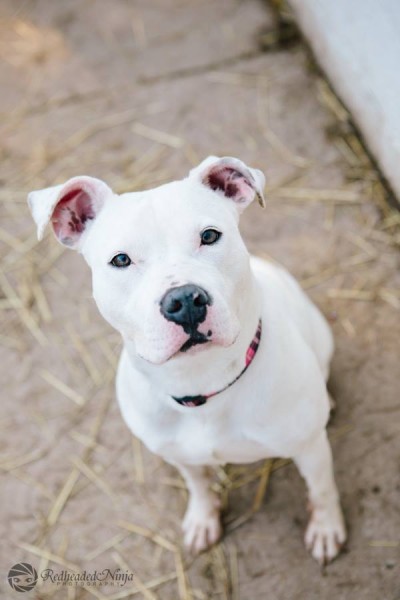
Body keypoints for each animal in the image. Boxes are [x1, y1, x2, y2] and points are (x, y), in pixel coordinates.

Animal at [28, 155, 346, 564]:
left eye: (209, 236)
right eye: (121, 259)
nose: (183, 301)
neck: (201, 382)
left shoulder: (310, 448)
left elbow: (321, 489)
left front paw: (326, 529)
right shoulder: (180, 457)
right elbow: (199, 487)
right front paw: (203, 519)